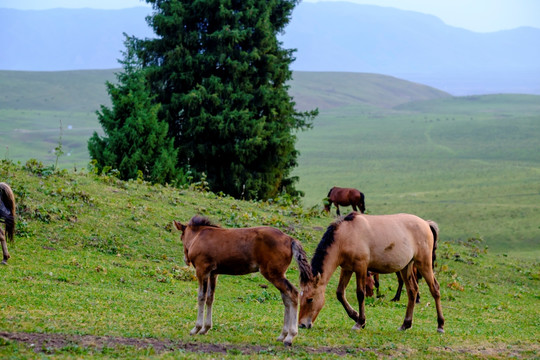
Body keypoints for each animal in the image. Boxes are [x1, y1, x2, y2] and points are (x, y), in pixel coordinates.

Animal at [173, 215, 312, 344]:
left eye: (181, 237)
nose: (186, 260)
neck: (199, 236)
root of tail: (289, 239)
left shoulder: (202, 271)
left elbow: (201, 297)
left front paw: (196, 328)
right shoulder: (213, 274)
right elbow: (210, 298)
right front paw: (205, 328)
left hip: (273, 274)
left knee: (293, 293)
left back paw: (290, 336)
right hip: (279, 274)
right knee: (286, 298)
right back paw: (282, 335)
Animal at [300, 212, 442, 334]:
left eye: (310, 299)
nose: (302, 324)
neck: (346, 234)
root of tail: (426, 223)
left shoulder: (361, 268)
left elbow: (360, 294)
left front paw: (360, 322)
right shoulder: (346, 268)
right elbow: (340, 293)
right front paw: (355, 316)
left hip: (423, 263)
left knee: (434, 289)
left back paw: (440, 325)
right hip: (406, 267)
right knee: (412, 291)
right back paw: (405, 324)